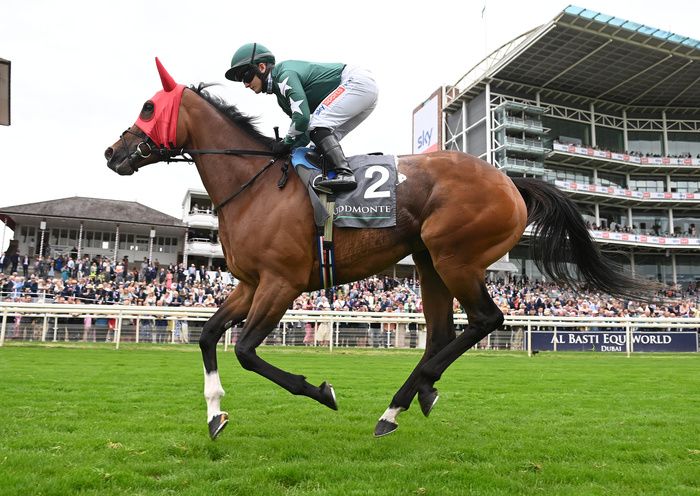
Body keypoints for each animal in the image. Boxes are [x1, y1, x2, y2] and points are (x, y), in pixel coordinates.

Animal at [104, 61, 652, 438]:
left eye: (149, 107)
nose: (113, 152)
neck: (254, 184)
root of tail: (510, 181)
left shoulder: (281, 283)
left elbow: (244, 350)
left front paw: (321, 391)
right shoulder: (250, 283)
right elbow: (208, 337)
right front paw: (216, 413)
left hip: (455, 256)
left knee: (484, 320)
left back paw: (402, 401)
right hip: (431, 262)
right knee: (441, 332)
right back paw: (414, 396)